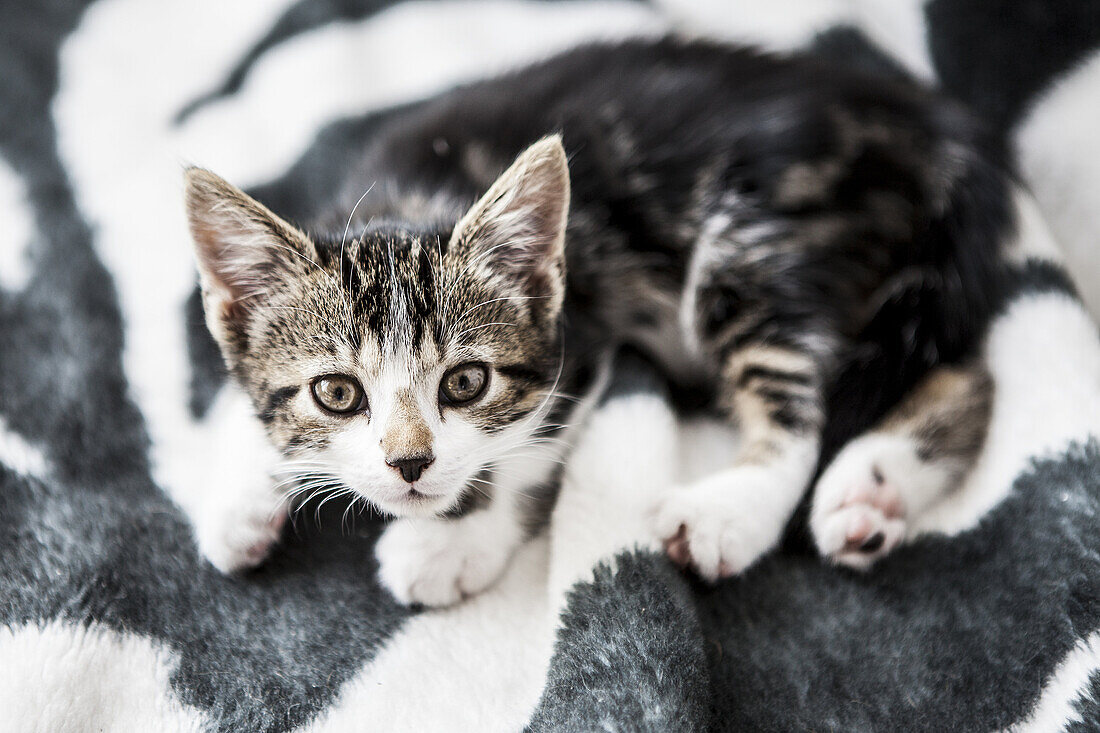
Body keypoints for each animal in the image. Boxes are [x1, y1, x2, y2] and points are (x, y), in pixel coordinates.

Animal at [182, 37, 1007, 603]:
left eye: (466, 383)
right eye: (337, 393)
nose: (409, 465)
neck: (407, 201)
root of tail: (918, 118)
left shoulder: (580, 328)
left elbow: (523, 452)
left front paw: (453, 540)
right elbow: (235, 394)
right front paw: (236, 497)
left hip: (751, 243)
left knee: (807, 406)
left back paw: (733, 512)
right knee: (961, 366)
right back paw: (871, 493)